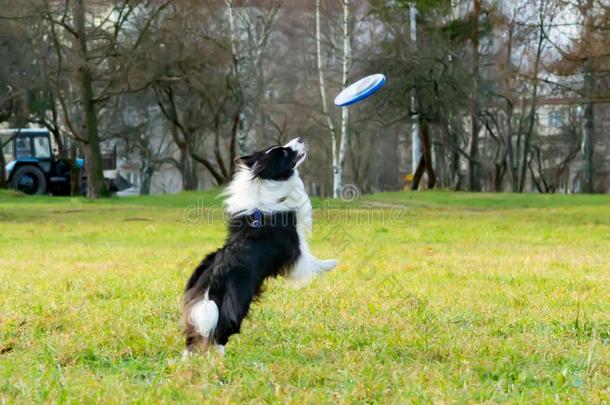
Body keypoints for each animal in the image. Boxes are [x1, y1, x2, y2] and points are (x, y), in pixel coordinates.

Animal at [180, 137, 338, 356]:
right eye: (284, 153)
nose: (299, 139)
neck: (263, 184)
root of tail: (214, 275)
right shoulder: (295, 250)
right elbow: (311, 261)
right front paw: (331, 263)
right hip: (237, 302)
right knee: (220, 331)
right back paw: (221, 359)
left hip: (201, 305)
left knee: (193, 338)